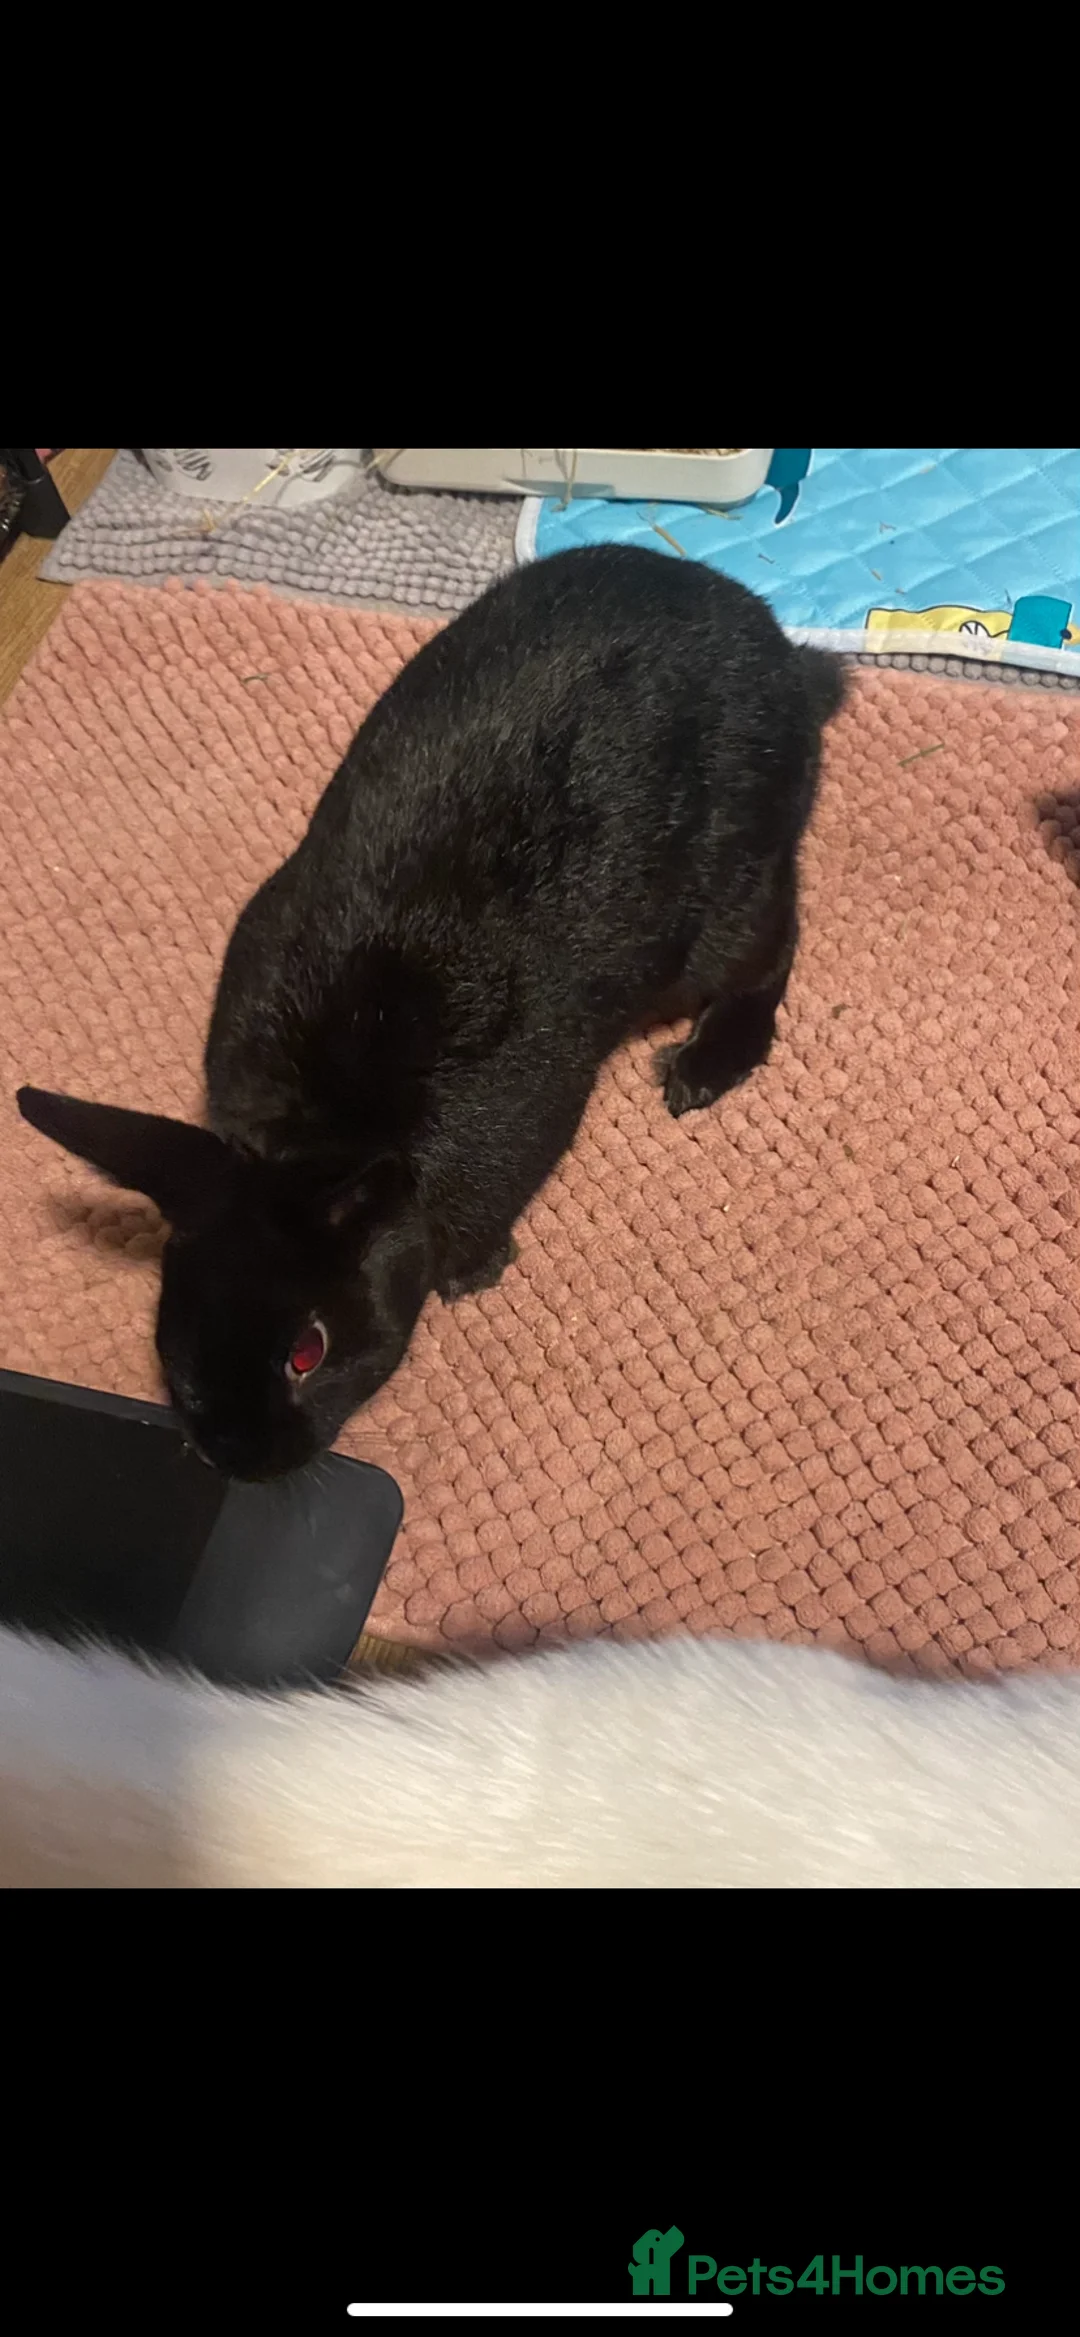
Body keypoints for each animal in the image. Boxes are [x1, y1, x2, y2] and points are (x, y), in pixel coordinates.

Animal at [16, 545, 846, 1482]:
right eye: (173, 1332)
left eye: (308, 1350)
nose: (244, 1462)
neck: (322, 1124)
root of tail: (781, 654)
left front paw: (476, 1273)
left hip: (731, 901)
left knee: (772, 947)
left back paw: (704, 1069)